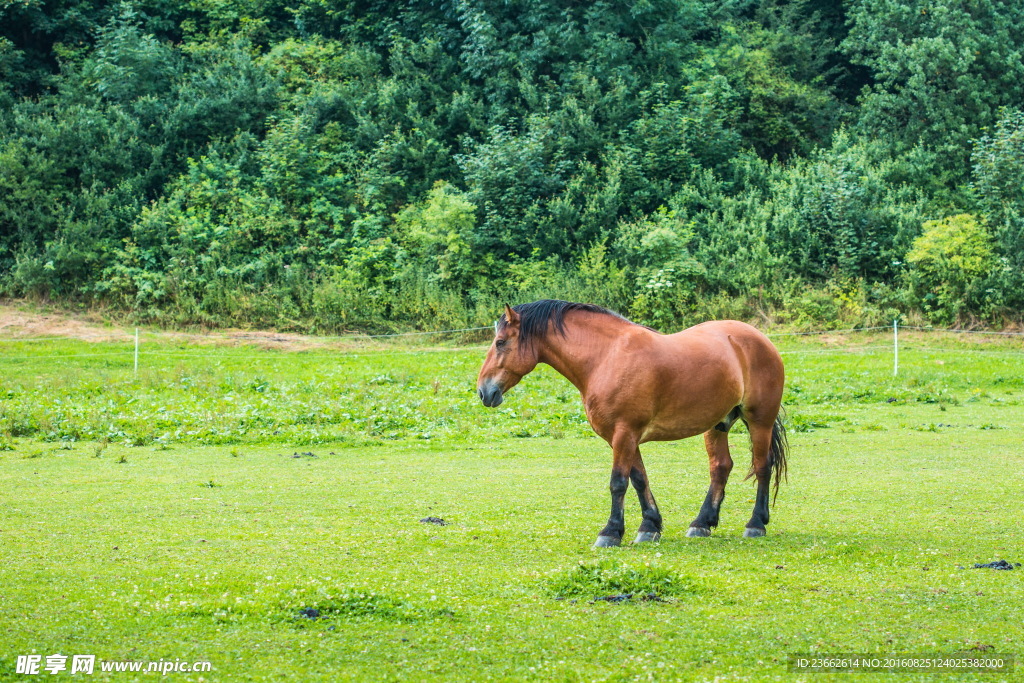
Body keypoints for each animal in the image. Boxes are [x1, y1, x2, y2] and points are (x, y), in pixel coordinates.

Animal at [475, 301, 786, 548]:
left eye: (500, 343)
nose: (484, 392)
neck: (605, 358)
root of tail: (758, 338)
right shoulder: (623, 436)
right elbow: (639, 479)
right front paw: (649, 526)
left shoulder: (624, 433)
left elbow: (618, 482)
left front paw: (611, 532)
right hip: (717, 425)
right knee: (720, 467)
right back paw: (702, 523)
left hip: (759, 420)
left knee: (762, 466)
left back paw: (756, 524)